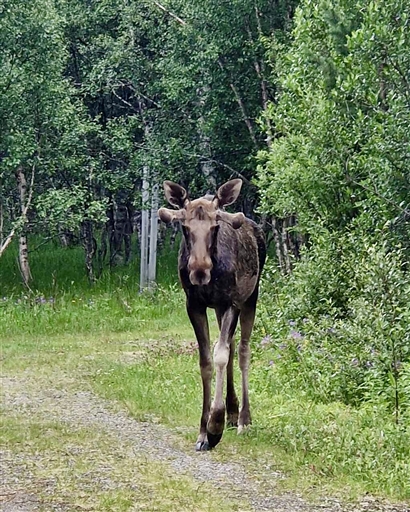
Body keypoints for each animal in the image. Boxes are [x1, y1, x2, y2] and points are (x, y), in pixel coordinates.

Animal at [157, 178, 266, 450]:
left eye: (215, 226)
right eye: (185, 227)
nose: (199, 270)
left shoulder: (231, 302)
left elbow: (220, 356)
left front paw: (215, 425)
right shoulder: (194, 304)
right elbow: (206, 360)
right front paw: (204, 431)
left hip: (251, 297)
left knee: (243, 349)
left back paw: (244, 418)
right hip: (218, 307)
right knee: (232, 344)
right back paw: (233, 411)